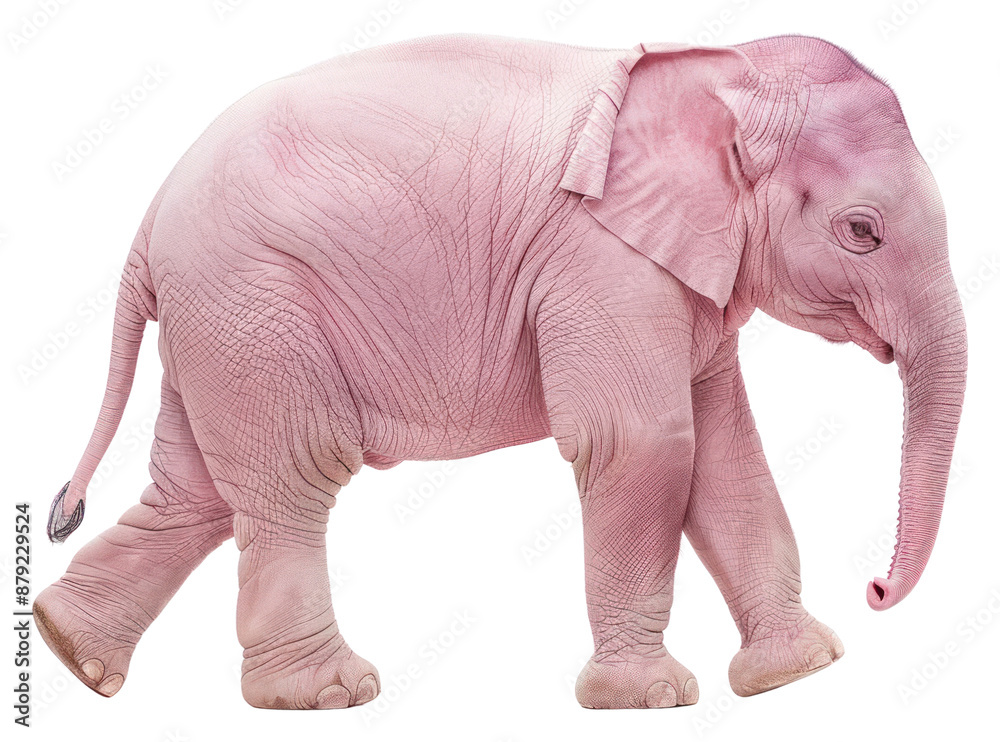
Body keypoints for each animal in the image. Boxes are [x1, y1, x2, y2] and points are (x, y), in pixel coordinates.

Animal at [35, 33, 967, 710]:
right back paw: (327, 695)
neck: (721, 67)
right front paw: (648, 700)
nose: (876, 587)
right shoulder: (598, 261)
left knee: (196, 492)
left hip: (221, 321)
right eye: (861, 232)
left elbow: (725, 457)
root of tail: (148, 221)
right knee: (292, 470)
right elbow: (645, 444)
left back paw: (71, 651)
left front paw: (797, 673)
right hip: (252, 300)